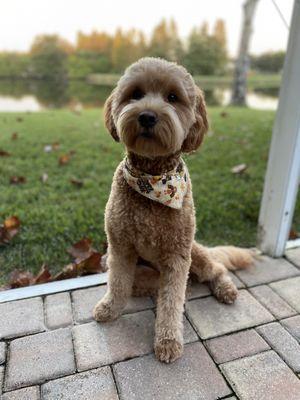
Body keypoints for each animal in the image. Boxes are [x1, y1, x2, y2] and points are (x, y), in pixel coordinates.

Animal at [94, 57, 253, 364]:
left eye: (172, 97)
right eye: (135, 94)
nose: (147, 116)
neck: (152, 179)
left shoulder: (178, 256)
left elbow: (171, 302)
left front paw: (168, 341)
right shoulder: (119, 246)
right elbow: (118, 283)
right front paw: (110, 308)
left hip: (195, 254)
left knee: (215, 269)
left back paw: (225, 289)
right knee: (154, 285)